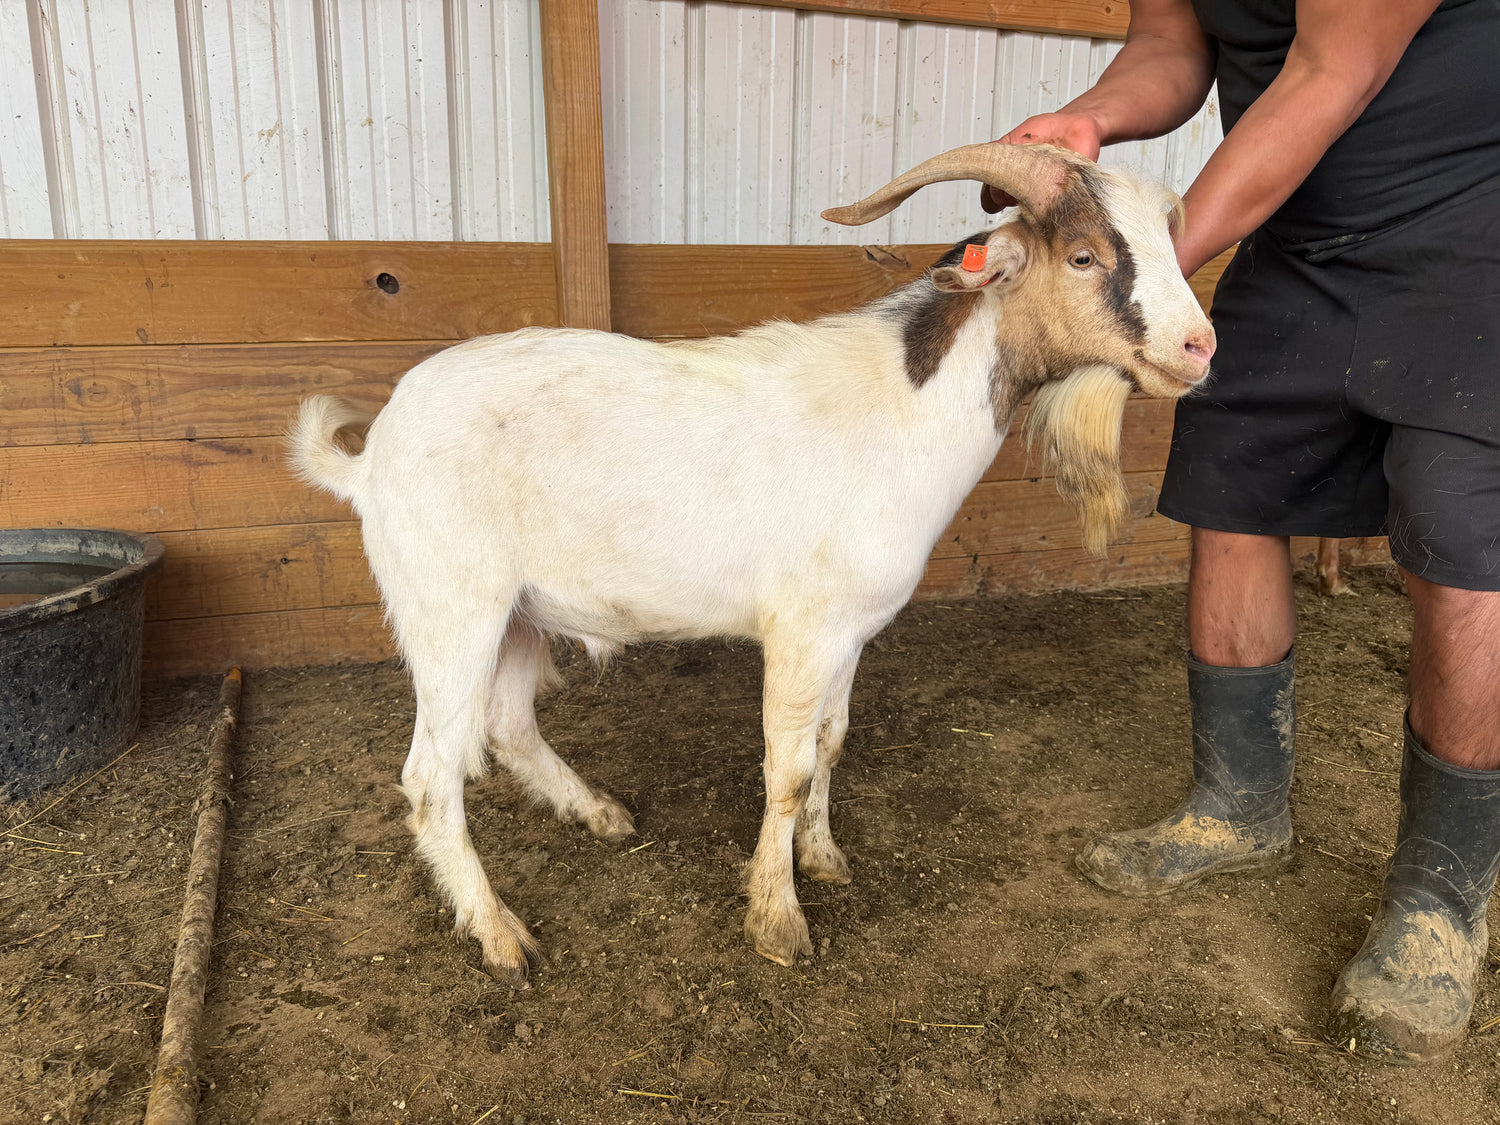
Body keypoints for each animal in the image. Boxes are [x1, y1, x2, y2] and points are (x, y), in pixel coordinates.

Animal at [289, 143, 1216, 979]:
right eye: (1084, 255)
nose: (1199, 347)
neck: (899, 409)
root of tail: (370, 458)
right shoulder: (802, 633)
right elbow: (789, 770)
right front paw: (777, 921)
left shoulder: (851, 630)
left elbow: (832, 745)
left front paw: (825, 860)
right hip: (452, 609)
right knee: (430, 778)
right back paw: (501, 937)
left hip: (518, 612)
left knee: (509, 726)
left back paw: (600, 814)